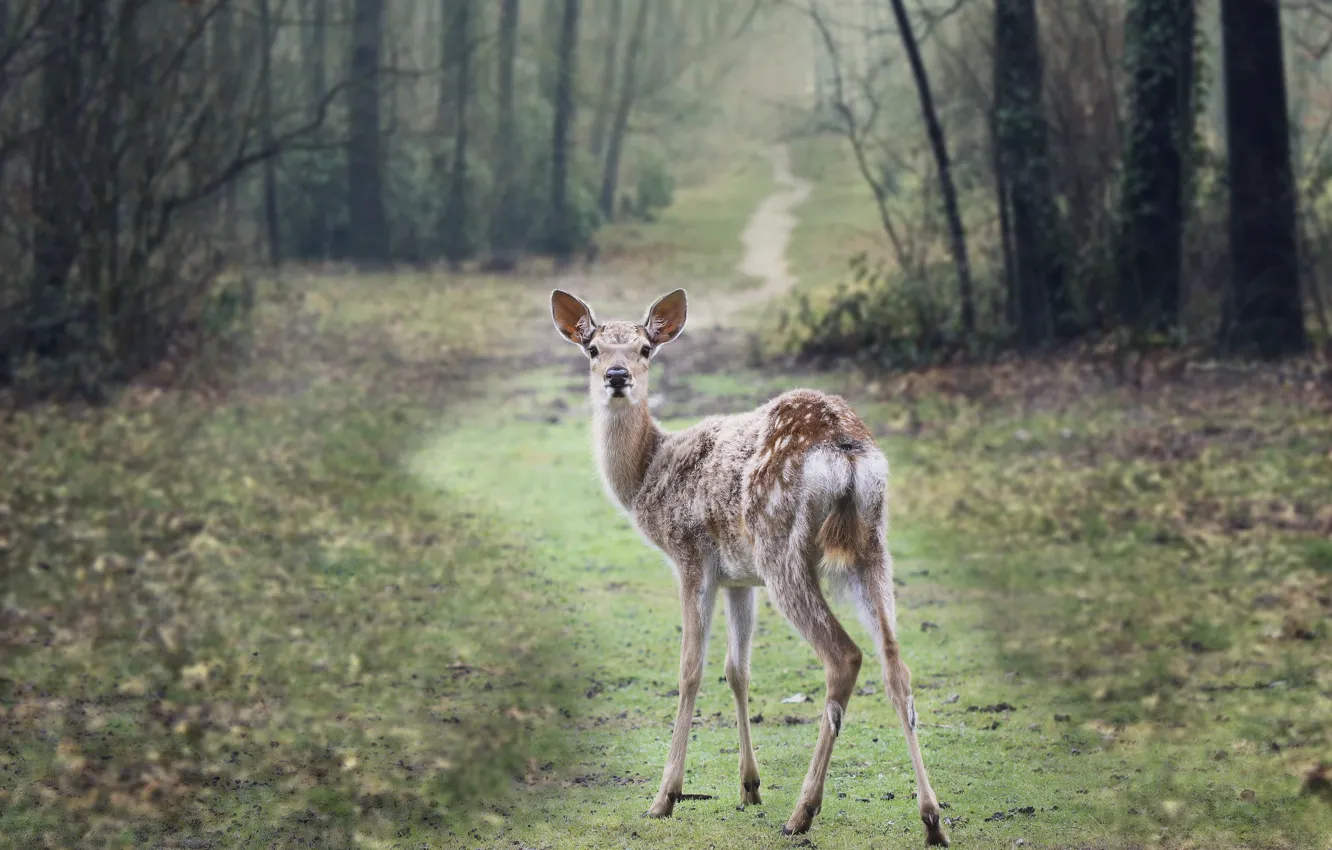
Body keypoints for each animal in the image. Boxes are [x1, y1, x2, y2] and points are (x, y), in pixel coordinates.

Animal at [548, 287, 948, 847]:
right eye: (593, 349)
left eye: (646, 348)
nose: (617, 375)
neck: (647, 476)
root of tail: (846, 450)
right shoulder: (739, 579)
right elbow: (737, 671)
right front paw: (749, 787)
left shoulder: (692, 555)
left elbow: (690, 669)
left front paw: (665, 796)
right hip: (871, 545)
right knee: (896, 662)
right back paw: (931, 819)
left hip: (782, 548)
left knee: (844, 655)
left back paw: (803, 811)